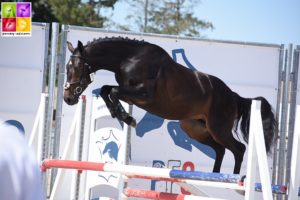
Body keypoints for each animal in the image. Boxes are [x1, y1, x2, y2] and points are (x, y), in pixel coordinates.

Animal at [64, 37, 278, 173]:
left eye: (76, 68)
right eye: (67, 68)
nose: (67, 99)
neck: (129, 59)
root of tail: (233, 96)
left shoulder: (144, 95)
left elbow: (113, 91)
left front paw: (127, 118)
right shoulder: (130, 96)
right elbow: (106, 90)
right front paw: (121, 115)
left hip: (218, 128)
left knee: (238, 149)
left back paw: (233, 179)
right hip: (196, 129)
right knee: (220, 149)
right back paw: (214, 176)